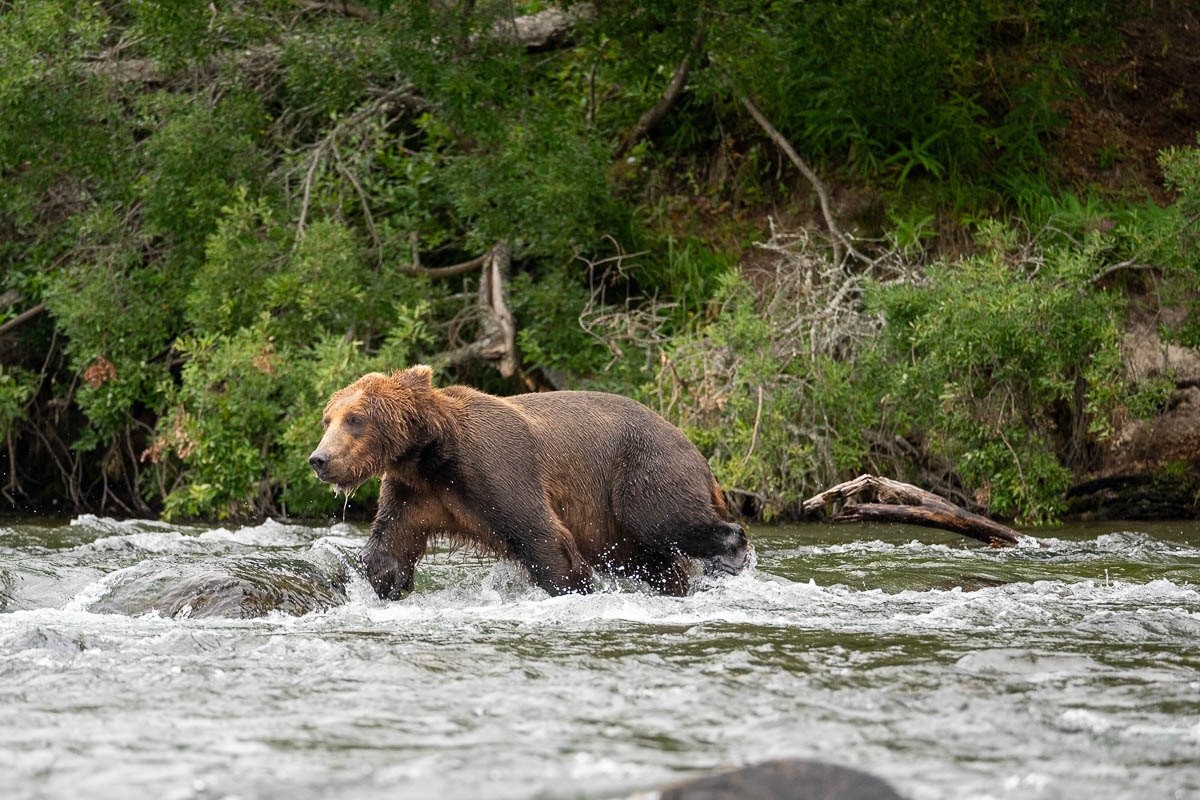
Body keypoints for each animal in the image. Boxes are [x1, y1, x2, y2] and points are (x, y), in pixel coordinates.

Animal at [304, 367, 744, 597]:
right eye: (328, 419)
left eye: (355, 419)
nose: (319, 460)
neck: (433, 455)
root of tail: (695, 448)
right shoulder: (416, 491)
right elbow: (391, 545)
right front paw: (380, 580)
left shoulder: (496, 468)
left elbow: (543, 535)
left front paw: (573, 586)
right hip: (609, 520)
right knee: (647, 558)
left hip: (642, 470)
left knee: (665, 519)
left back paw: (729, 555)